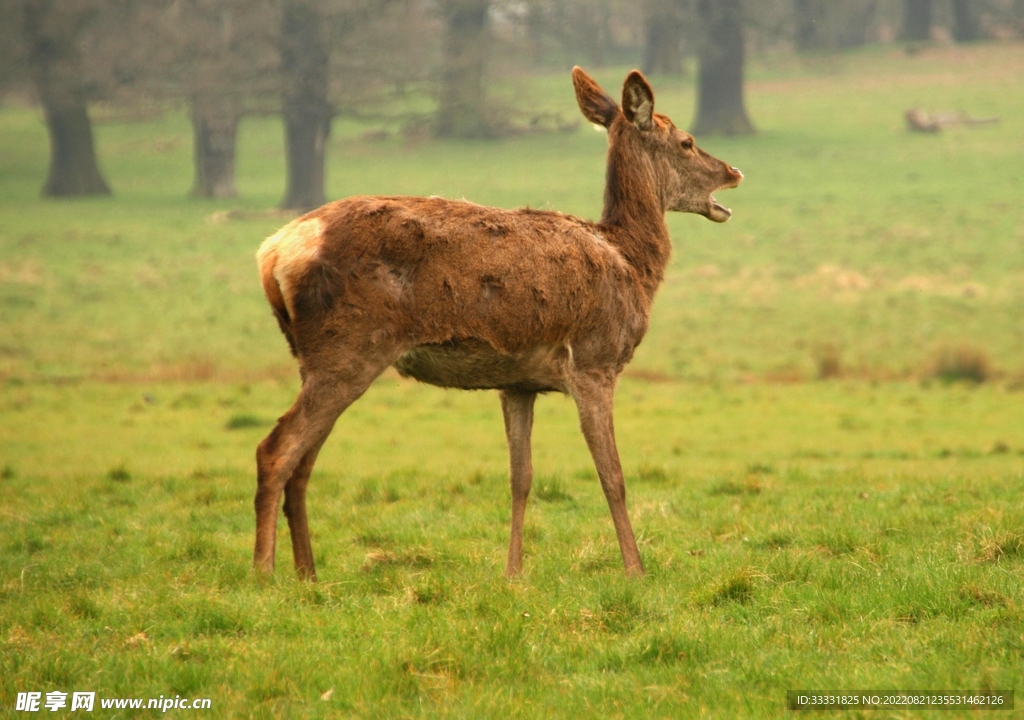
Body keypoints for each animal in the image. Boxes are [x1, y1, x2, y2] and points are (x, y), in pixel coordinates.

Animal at [253, 67, 742, 580]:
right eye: (687, 142)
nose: (733, 172)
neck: (632, 263)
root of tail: (272, 253)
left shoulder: (518, 382)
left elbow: (520, 476)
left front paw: (513, 572)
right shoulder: (594, 361)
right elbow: (612, 475)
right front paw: (636, 570)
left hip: (318, 357)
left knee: (303, 462)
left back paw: (308, 574)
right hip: (348, 348)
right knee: (276, 449)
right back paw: (265, 573)